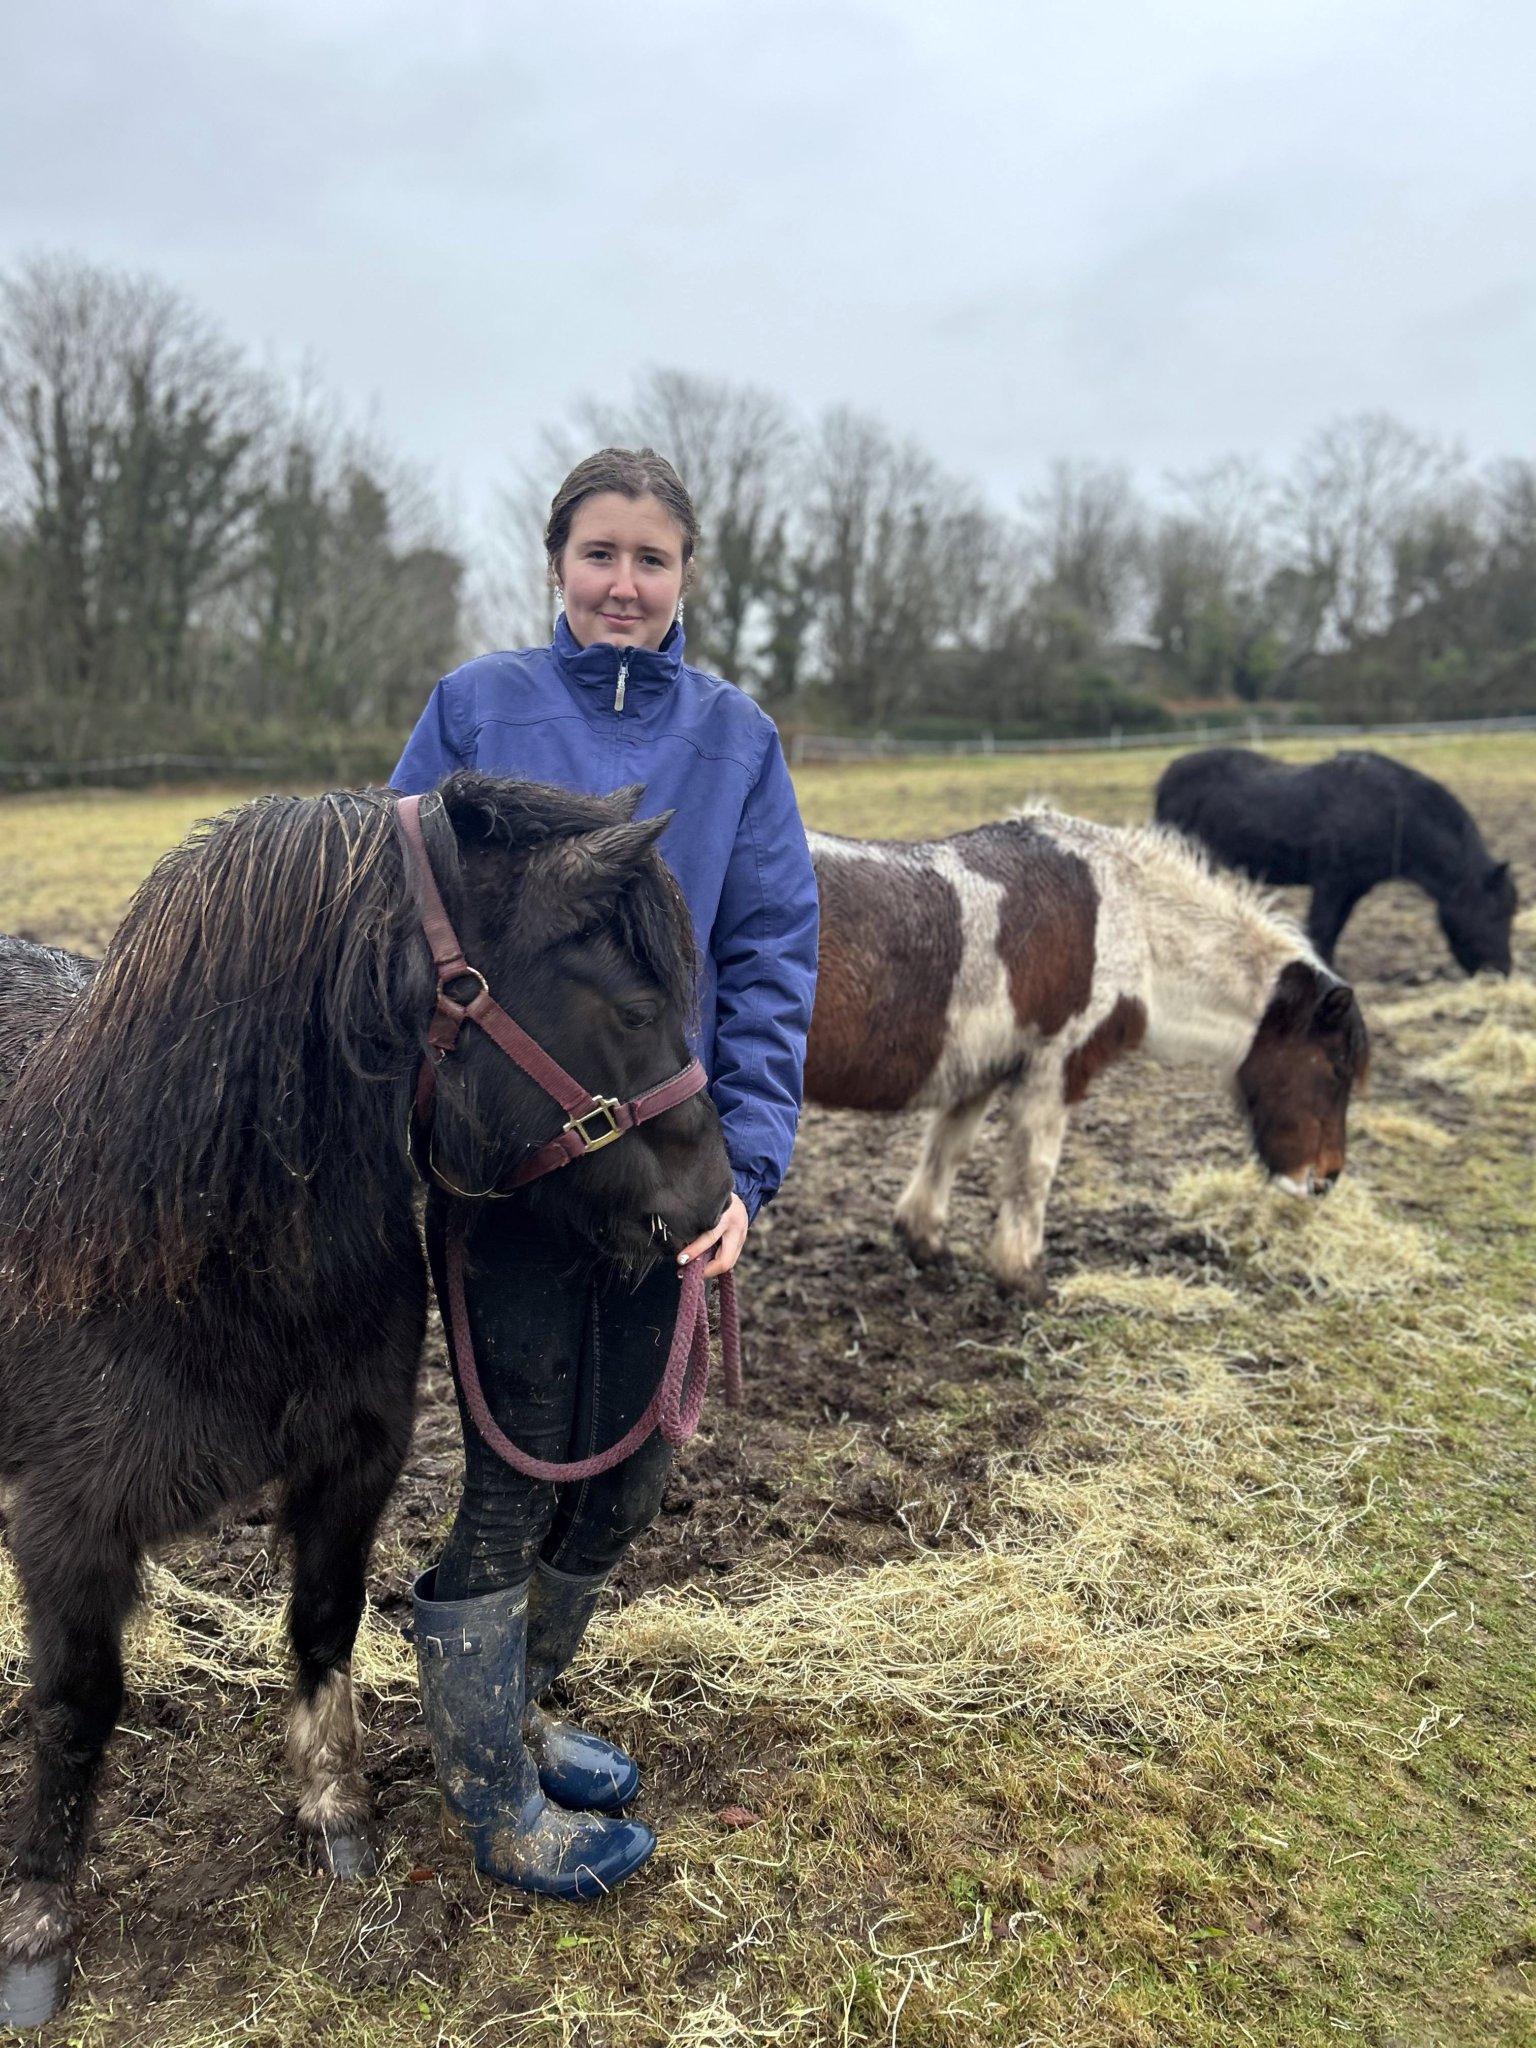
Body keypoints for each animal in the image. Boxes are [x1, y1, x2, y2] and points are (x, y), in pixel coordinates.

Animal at [0, 772, 732, 2028]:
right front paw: (40, 1922)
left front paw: (334, 1811)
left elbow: (324, 1623)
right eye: (633, 1003)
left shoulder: (352, 1465)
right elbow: (76, 1700)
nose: (711, 1205)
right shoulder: (68, 1527)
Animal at [805, 809, 1369, 1300]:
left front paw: (925, 1243)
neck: (1133, 924)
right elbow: (1033, 1170)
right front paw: (1022, 1277)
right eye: (1337, 1068)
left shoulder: (980, 1071)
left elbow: (948, 1149)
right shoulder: (1058, 1068)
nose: (1324, 1178)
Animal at [1154, 747, 1517, 975]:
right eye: (1496, 912)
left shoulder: (1352, 889)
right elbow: (1321, 930)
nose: (1502, 970)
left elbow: (1333, 931)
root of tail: (1169, 774)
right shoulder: (1331, 883)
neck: (1390, 810)